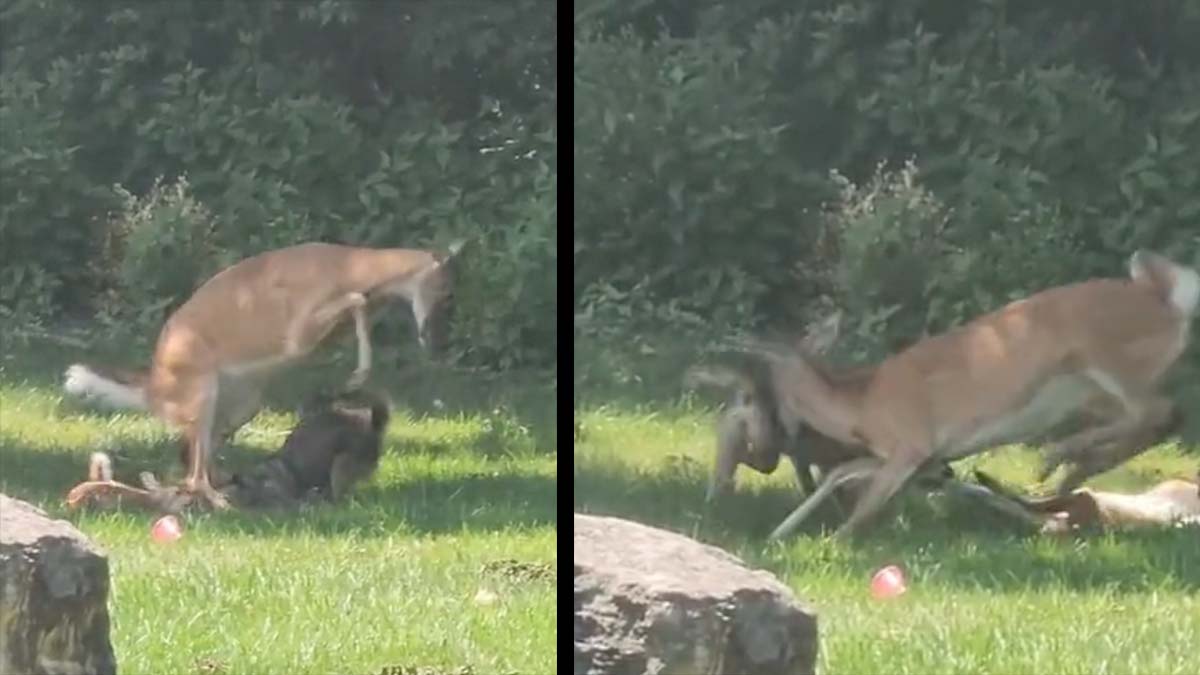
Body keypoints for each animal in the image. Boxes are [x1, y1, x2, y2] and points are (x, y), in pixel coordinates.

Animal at [62, 240, 463, 509]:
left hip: (242, 404)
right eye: (445, 293)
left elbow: (360, 312)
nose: (441, 344)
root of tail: (153, 389)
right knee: (195, 471)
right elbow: (358, 302)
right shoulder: (299, 335)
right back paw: (219, 503)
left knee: (193, 460)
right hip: (203, 392)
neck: (348, 267)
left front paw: (354, 376)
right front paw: (358, 374)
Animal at [728, 250, 1197, 541]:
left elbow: (864, 508)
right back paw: (1068, 469)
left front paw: (834, 543)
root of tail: (1170, 299)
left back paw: (1057, 459)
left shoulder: (912, 443)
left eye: (758, 388)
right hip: (1094, 388)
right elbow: (840, 476)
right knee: (1158, 420)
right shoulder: (919, 459)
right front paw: (780, 533)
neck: (860, 404)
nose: (765, 449)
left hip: (1108, 359)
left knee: (1157, 412)